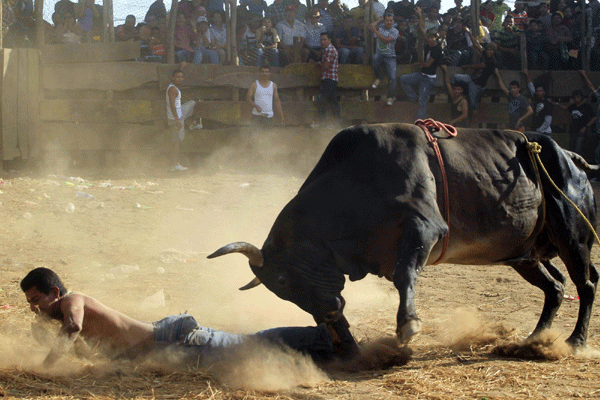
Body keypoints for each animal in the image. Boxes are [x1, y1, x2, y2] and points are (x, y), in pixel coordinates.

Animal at [207, 123, 600, 354]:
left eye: (284, 278)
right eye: (281, 290)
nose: (327, 312)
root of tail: (570, 156)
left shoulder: (424, 227)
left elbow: (403, 274)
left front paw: (407, 324)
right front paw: (345, 339)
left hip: (572, 238)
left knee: (586, 282)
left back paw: (575, 341)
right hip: (523, 255)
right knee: (555, 287)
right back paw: (535, 340)